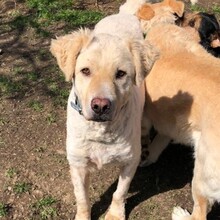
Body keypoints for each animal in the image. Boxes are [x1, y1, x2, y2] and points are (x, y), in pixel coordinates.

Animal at [133, 0, 220, 218]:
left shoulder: (145, 115)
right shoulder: (170, 123)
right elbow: (158, 143)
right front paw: (148, 159)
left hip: (201, 174)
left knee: (199, 213)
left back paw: (180, 214)